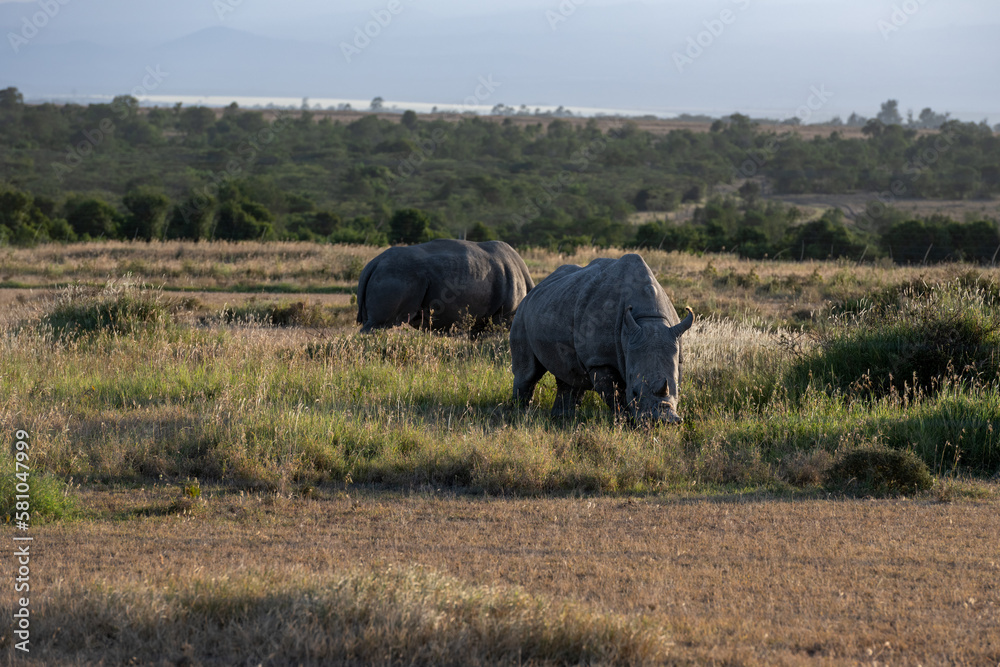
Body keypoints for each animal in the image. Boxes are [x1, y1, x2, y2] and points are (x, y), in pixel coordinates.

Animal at [510, 253, 693, 423]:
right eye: (634, 392)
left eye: (676, 389)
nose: (662, 420)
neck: (650, 318)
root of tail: (536, 287)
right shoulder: (600, 360)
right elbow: (614, 394)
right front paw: (624, 422)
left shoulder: (677, 355)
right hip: (522, 312)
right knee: (528, 373)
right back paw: (519, 413)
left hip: (555, 303)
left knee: (569, 373)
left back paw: (562, 418)